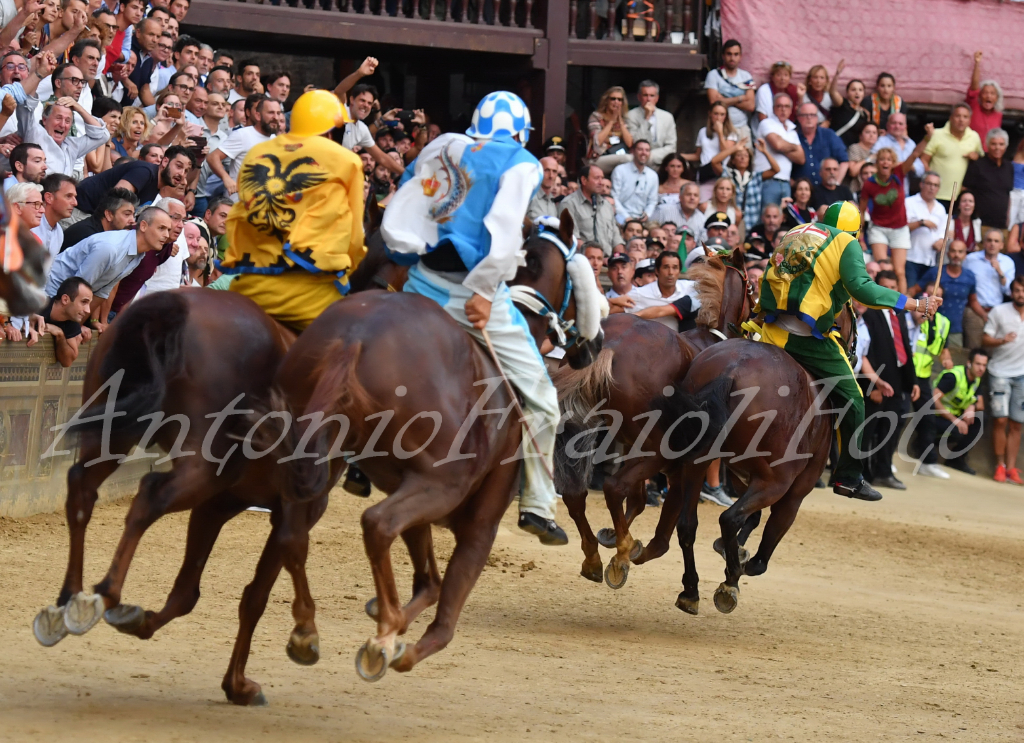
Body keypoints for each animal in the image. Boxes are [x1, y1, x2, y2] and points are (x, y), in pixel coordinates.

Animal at [274, 212, 606, 683]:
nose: (594, 344)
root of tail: (356, 338)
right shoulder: (477, 518)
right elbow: (446, 615)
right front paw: (394, 641)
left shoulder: (415, 494)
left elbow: (429, 583)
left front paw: (387, 617)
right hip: (442, 482)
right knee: (377, 523)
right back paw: (383, 634)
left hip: (320, 460)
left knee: (292, 533)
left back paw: (309, 631)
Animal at [552, 252, 753, 597]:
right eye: (752, 287)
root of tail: (613, 344)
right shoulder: (680, 466)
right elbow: (663, 529)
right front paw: (627, 547)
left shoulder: (636, 449)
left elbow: (638, 501)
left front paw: (615, 537)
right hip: (658, 450)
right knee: (612, 487)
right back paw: (621, 552)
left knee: (577, 494)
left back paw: (594, 556)